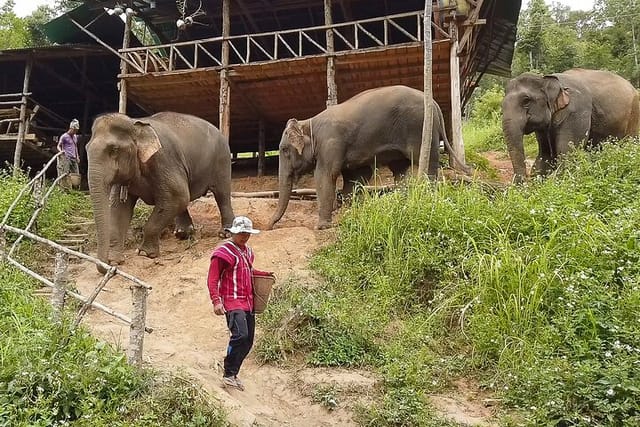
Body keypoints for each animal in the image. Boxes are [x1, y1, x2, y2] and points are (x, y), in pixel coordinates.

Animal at [85, 110, 235, 270]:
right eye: (86, 149)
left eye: (114, 150)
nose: (106, 266)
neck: (135, 123)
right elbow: (120, 209)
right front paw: (115, 261)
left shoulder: (163, 159)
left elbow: (178, 195)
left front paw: (145, 253)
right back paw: (182, 234)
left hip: (222, 160)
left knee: (222, 194)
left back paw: (225, 234)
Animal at [268, 84, 458, 231]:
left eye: (284, 149)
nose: (269, 226)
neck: (309, 122)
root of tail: (435, 104)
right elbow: (357, 176)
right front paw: (346, 211)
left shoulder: (330, 143)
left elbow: (325, 176)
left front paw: (322, 226)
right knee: (399, 169)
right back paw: (402, 200)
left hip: (421, 129)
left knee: (427, 162)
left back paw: (427, 196)